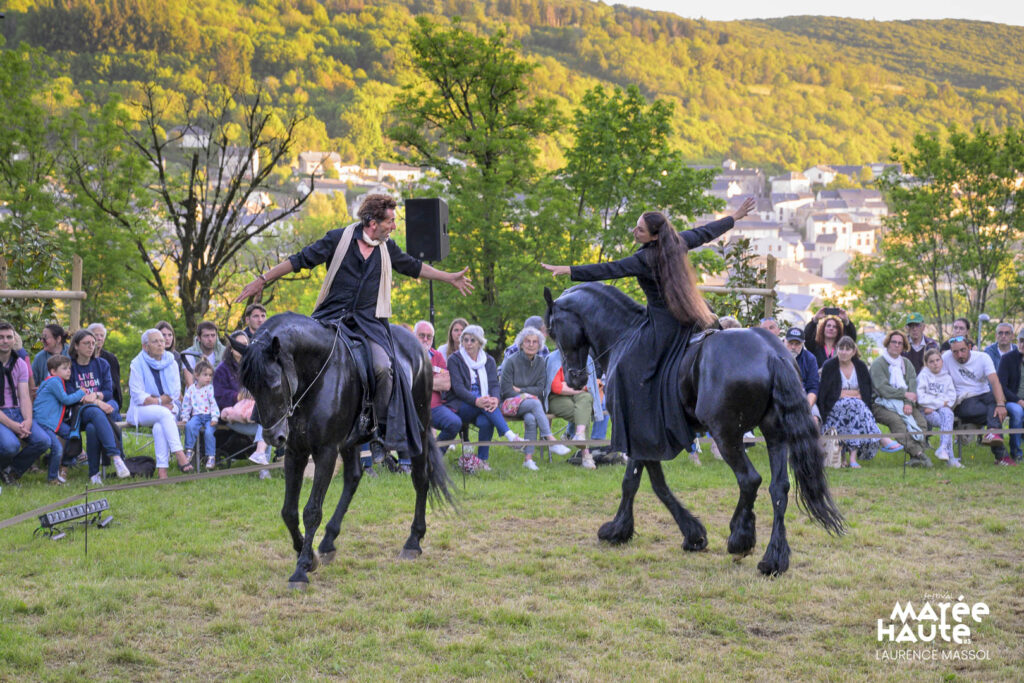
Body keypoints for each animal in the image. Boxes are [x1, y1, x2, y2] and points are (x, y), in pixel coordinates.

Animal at [235, 312, 452, 588]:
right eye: (250, 387)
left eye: (274, 384)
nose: (274, 436)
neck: (315, 374)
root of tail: (420, 348)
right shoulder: (296, 452)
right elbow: (289, 511)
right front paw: (308, 554)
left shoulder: (326, 451)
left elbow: (311, 511)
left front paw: (302, 569)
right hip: (351, 441)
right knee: (353, 478)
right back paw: (328, 541)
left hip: (419, 430)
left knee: (421, 479)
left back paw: (413, 541)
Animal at [543, 283, 845, 576]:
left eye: (554, 330)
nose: (574, 378)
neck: (625, 335)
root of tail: (772, 354)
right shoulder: (642, 437)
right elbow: (641, 481)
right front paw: (675, 532)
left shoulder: (641, 434)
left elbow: (644, 483)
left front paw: (631, 530)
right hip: (775, 435)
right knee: (778, 487)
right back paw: (774, 559)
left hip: (726, 436)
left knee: (750, 480)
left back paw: (740, 539)